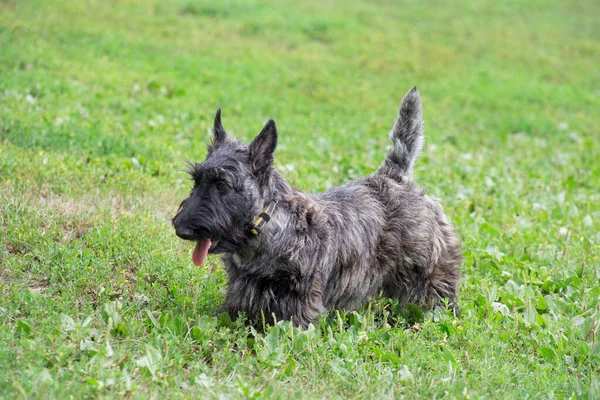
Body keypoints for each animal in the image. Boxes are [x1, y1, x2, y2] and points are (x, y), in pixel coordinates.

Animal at [171, 87, 462, 328]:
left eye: (222, 185)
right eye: (196, 180)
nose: (181, 229)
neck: (267, 228)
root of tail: (395, 176)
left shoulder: (300, 299)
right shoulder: (242, 291)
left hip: (431, 272)